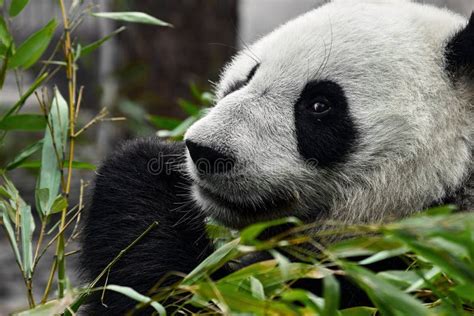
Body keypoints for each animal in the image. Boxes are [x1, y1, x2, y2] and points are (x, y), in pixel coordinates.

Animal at [79, 0, 472, 314]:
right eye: (245, 78)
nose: (205, 151)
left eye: (319, 105)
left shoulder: (396, 275)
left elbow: (197, 297)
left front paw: (143, 166)